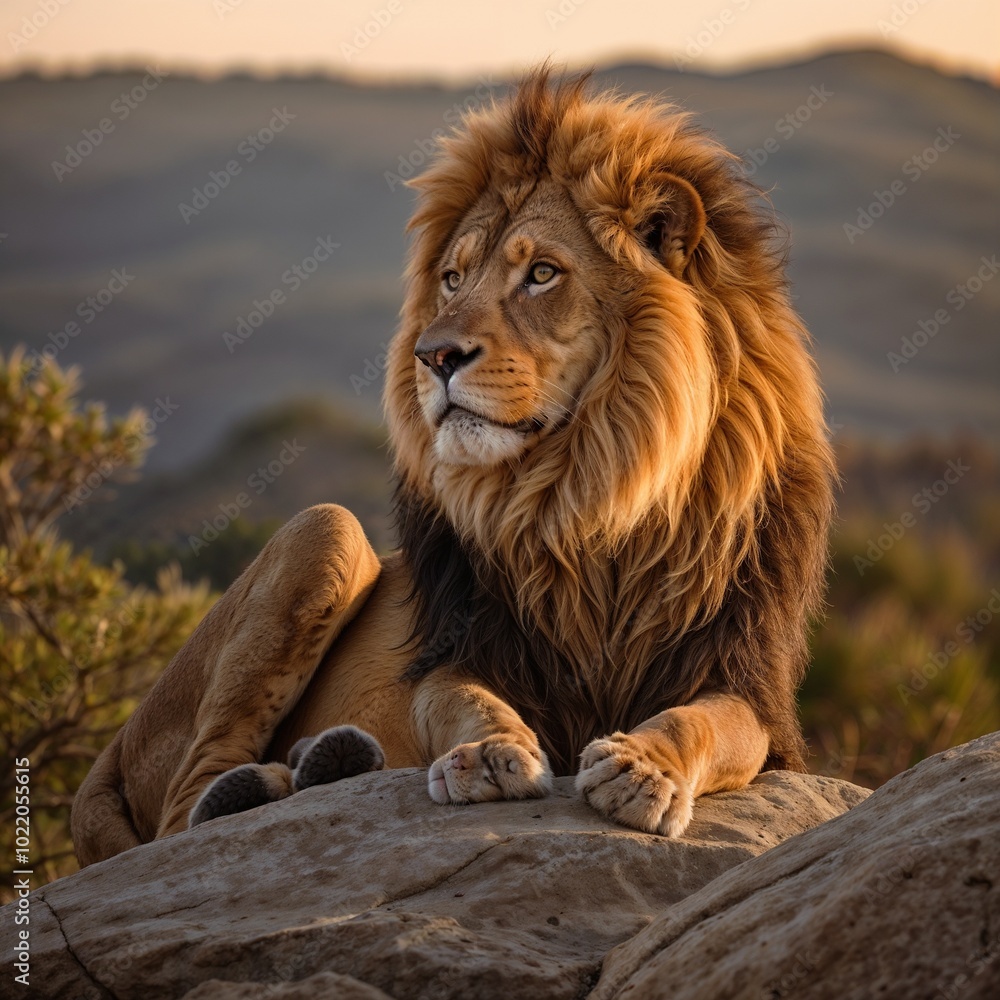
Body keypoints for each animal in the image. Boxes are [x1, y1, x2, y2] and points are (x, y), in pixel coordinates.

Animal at [72, 68, 836, 868]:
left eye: (541, 273)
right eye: (452, 277)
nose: (433, 355)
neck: (590, 493)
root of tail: (107, 756)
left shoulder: (747, 679)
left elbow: (706, 722)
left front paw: (640, 767)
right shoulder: (456, 652)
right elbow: (469, 701)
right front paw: (492, 755)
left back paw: (327, 763)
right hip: (326, 533)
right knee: (181, 809)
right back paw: (260, 787)